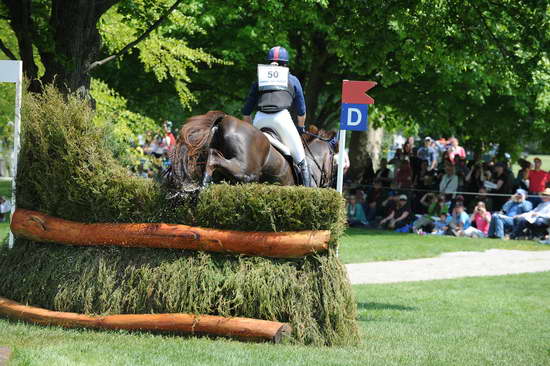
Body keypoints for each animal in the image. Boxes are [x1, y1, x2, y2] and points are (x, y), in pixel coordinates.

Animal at [166, 111, 334, 192]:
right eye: (333, 156)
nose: (328, 182)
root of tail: (224, 120)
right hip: (247, 172)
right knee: (214, 157)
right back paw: (204, 183)